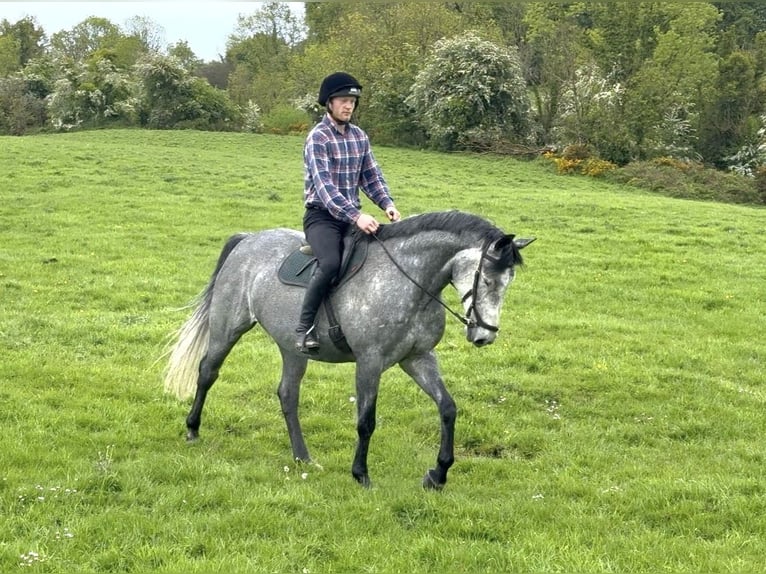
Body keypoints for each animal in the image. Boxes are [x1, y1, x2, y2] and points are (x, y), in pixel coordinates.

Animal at [163, 210, 535, 489]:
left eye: (508, 282)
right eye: (487, 279)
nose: (485, 336)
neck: (409, 282)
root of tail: (248, 240)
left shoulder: (418, 358)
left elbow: (447, 408)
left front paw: (438, 474)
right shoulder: (369, 362)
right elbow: (366, 421)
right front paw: (361, 474)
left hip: (292, 349)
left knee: (287, 395)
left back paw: (303, 456)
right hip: (228, 328)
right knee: (207, 372)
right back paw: (193, 429)